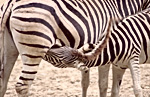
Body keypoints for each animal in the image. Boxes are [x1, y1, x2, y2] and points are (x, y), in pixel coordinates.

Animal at [0, 0, 150, 96]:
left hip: (10, 48)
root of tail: (12, 3)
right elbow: (103, 85)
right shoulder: (109, 47)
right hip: (34, 48)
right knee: (23, 86)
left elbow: (85, 82)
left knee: (3, 82)